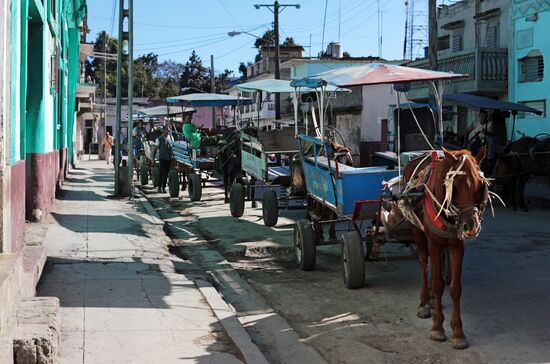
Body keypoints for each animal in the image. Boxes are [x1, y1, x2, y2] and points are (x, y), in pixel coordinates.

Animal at [406, 147, 492, 350]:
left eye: (480, 185)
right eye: (457, 185)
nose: (471, 226)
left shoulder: (457, 245)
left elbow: (455, 288)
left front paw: (458, 332)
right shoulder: (433, 242)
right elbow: (439, 285)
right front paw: (437, 327)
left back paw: (429, 299)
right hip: (417, 230)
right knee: (424, 262)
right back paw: (424, 302)